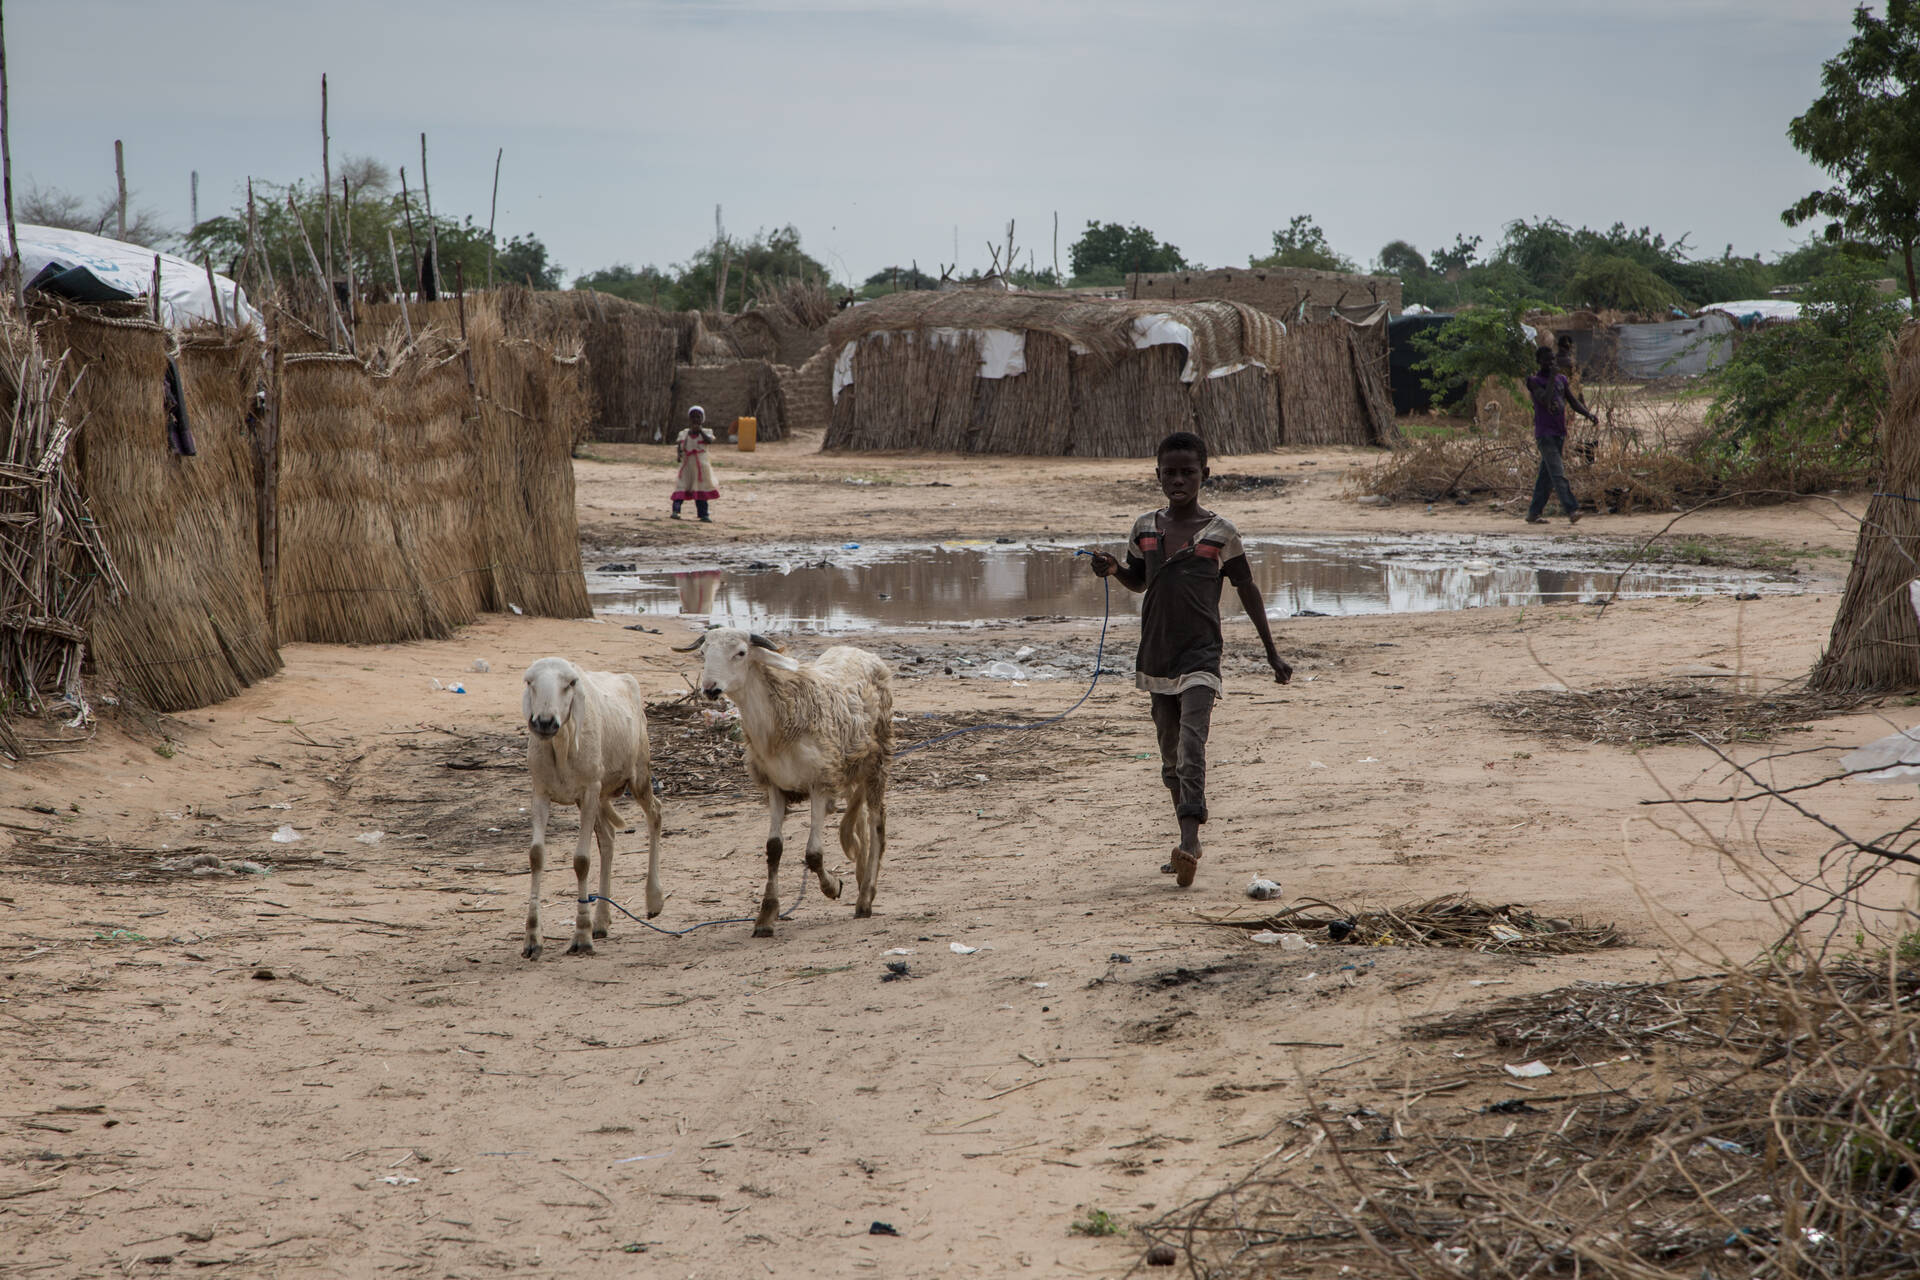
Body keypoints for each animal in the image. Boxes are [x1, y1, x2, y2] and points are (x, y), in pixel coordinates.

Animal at [522, 660, 664, 959]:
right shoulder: (540, 791)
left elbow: (582, 860)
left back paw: (653, 900)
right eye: (530, 683)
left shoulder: (589, 790)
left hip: (637, 773)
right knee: (608, 837)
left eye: (570, 684)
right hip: (598, 794)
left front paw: (581, 937)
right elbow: (536, 856)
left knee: (655, 813)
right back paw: (601, 921)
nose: (544, 722)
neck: (562, 746)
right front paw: (532, 939)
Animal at [679, 633, 894, 940]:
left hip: (878, 759)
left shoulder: (820, 782)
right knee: (861, 819)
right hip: (854, 767)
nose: (709, 689)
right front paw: (766, 916)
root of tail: (861, 652)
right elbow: (774, 849)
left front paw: (833, 887)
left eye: (741, 653)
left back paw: (865, 899)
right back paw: (862, 879)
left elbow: (813, 854)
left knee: (877, 824)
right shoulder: (775, 785)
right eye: (703, 652)